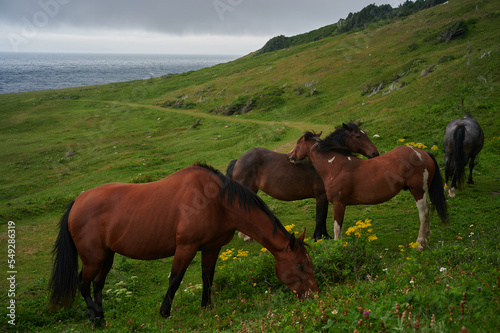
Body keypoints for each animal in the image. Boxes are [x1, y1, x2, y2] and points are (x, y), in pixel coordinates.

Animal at [49, 163, 316, 320]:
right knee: (83, 283)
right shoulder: (186, 247)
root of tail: (77, 201)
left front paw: (206, 306)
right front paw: (165, 312)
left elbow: (207, 277)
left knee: (97, 284)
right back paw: (95, 317)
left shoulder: (212, 247)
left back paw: (101, 316)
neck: (217, 201)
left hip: (107, 256)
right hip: (93, 258)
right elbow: (175, 279)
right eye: (300, 265)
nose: (313, 294)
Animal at [227, 120, 378, 240]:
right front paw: (319, 237)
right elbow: (320, 217)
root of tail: (238, 160)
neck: (327, 163)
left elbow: (322, 216)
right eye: (358, 136)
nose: (375, 153)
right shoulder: (321, 196)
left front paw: (324, 236)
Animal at [290, 131, 450, 248]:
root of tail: (422, 153)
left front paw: (338, 247)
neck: (335, 166)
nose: (291, 156)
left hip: (417, 191)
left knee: (423, 213)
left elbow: (337, 228)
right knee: (428, 209)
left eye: (298, 143)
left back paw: (420, 243)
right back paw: (427, 236)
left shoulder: (338, 203)